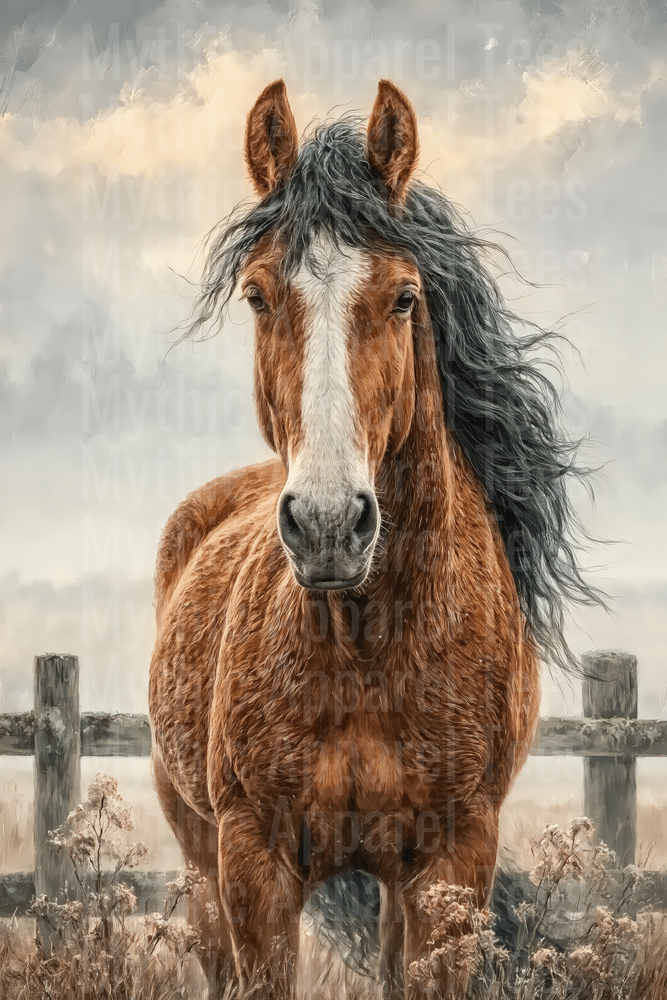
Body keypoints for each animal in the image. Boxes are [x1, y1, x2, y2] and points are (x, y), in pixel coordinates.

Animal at [149, 79, 599, 998]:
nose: (327, 525)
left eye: (402, 296)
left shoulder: (452, 863)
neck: (367, 647)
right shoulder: (252, 867)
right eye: (258, 294)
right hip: (199, 861)